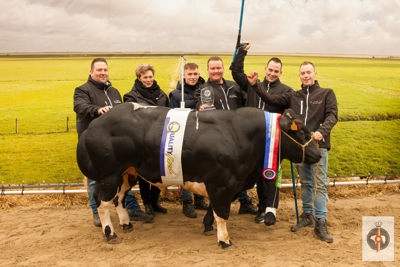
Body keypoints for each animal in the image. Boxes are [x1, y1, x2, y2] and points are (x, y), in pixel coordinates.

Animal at [76, 103, 318, 249]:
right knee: (102, 203)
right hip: (108, 176)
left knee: (118, 200)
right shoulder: (222, 184)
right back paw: (110, 233)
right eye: (300, 131)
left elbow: (214, 210)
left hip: (128, 174)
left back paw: (126, 224)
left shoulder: (224, 185)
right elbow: (222, 213)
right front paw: (224, 240)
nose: (317, 153)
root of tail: (95, 124)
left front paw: (208, 226)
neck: (240, 135)